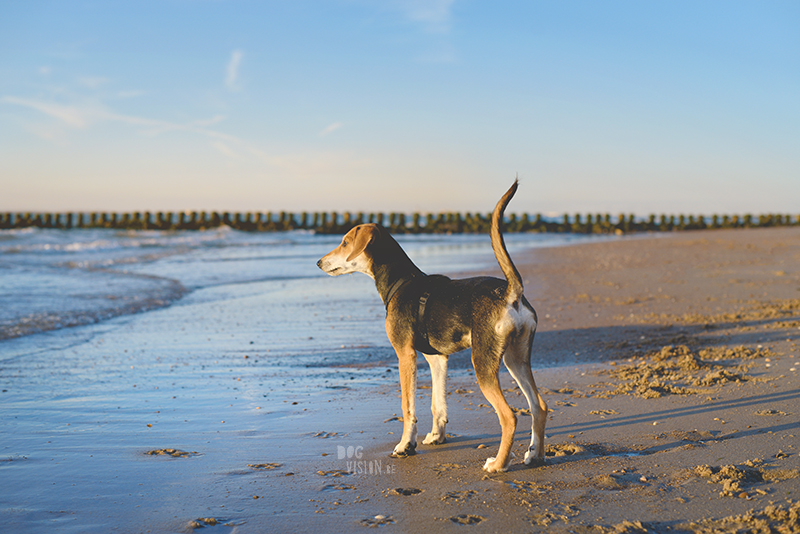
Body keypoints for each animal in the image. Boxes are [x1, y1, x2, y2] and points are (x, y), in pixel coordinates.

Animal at [316, 182, 548, 476]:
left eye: (345, 242)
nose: (318, 262)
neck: (401, 281)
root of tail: (509, 292)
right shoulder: (437, 358)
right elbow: (437, 404)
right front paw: (437, 436)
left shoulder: (405, 355)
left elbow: (408, 406)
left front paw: (405, 445)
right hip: (515, 359)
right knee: (539, 406)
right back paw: (535, 455)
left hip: (484, 363)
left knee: (509, 416)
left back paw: (498, 464)